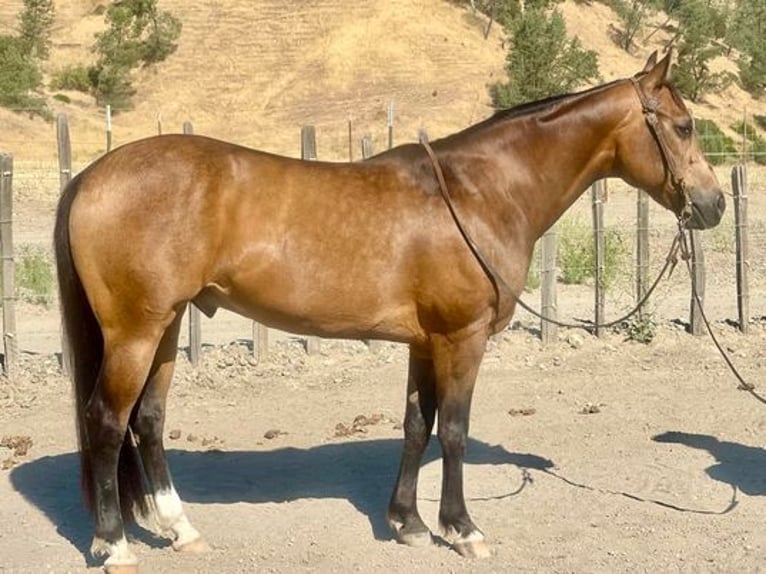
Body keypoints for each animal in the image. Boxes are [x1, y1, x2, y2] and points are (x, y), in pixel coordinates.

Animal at [54, 53, 728, 572]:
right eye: (684, 126)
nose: (714, 204)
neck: (479, 191)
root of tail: (92, 174)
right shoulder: (462, 338)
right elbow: (453, 431)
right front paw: (462, 529)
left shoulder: (426, 342)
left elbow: (416, 426)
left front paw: (407, 523)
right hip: (135, 333)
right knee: (107, 421)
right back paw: (114, 545)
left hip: (165, 329)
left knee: (148, 421)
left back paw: (180, 529)